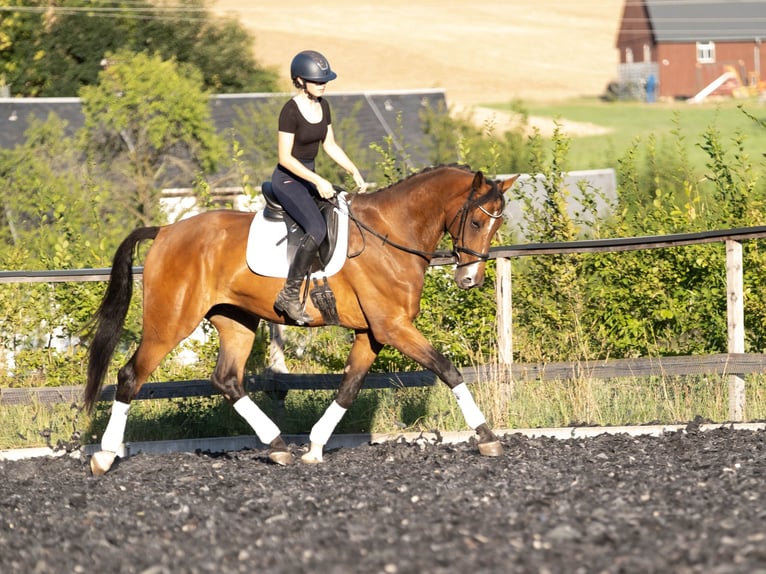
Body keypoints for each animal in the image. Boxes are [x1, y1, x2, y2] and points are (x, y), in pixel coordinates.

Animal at [84, 165, 519, 475]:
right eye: (476, 222)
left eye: (497, 224)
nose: (469, 280)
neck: (391, 234)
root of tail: (166, 230)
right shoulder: (393, 327)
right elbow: (448, 370)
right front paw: (487, 437)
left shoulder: (372, 333)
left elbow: (348, 389)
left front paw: (313, 447)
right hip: (171, 323)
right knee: (130, 376)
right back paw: (104, 457)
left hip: (236, 320)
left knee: (227, 379)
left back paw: (278, 447)